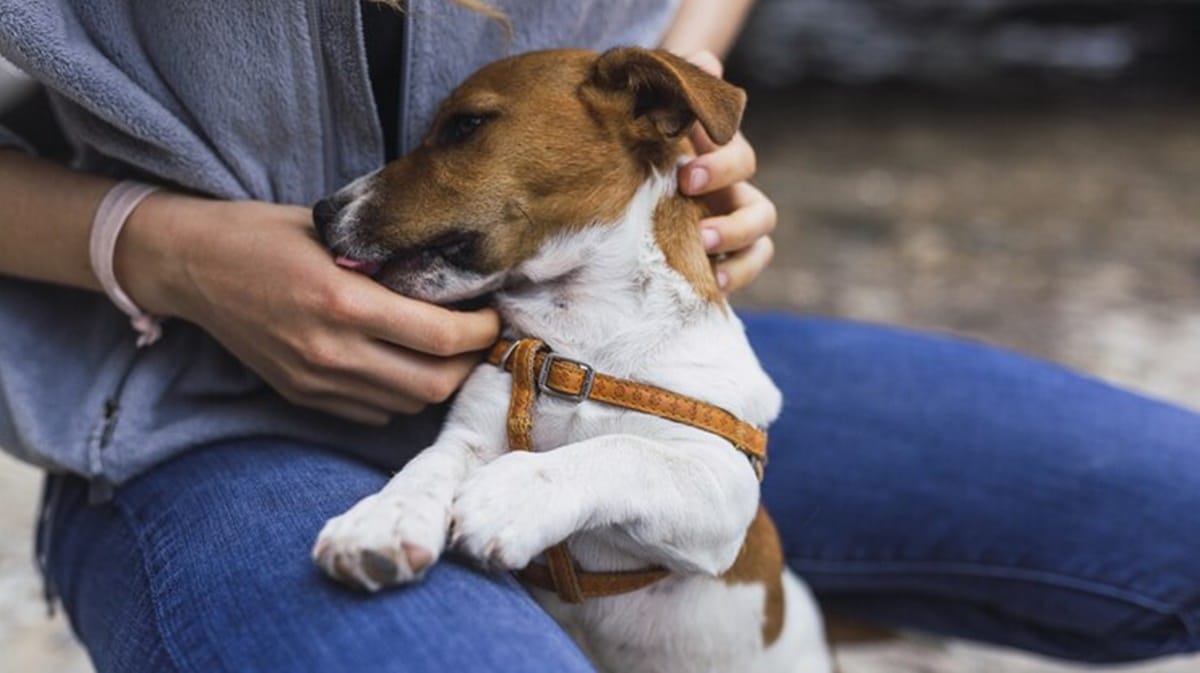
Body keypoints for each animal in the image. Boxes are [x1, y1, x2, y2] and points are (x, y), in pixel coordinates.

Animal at [309, 48, 830, 671]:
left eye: (465, 125)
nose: (320, 211)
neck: (585, 337)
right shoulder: (471, 435)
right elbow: (426, 464)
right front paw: (383, 518)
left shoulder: (721, 485)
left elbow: (622, 451)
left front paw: (514, 493)